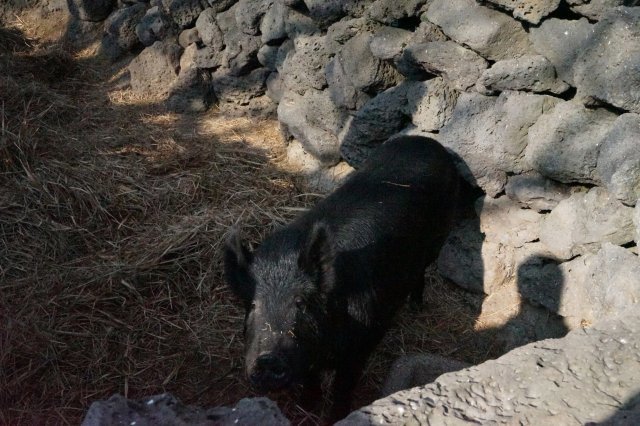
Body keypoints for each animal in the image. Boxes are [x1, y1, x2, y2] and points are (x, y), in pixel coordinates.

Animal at [224, 136, 460, 420]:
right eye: (253, 305)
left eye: (301, 303)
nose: (267, 359)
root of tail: (425, 141)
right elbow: (311, 381)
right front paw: (307, 407)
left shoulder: (360, 344)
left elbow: (342, 388)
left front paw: (337, 417)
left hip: (439, 237)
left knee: (422, 271)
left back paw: (416, 307)